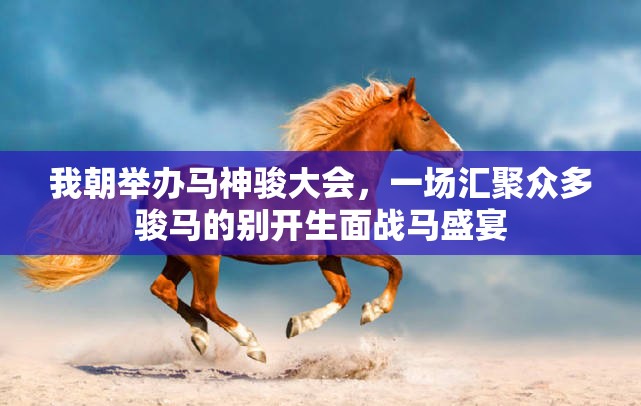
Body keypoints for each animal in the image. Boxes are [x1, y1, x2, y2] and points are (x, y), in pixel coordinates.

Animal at [19, 77, 463, 363]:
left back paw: (201, 338)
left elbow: (343, 294)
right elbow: (395, 268)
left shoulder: (328, 256)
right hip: (205, 258)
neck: (336, 179)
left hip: (180, 256)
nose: (457, 154)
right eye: (425, 118)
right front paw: (373, 311)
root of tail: (152, 185)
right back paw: (252, 345)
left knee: (164, 290)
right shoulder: (352, 246)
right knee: (204, 300)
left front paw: (297, 324)